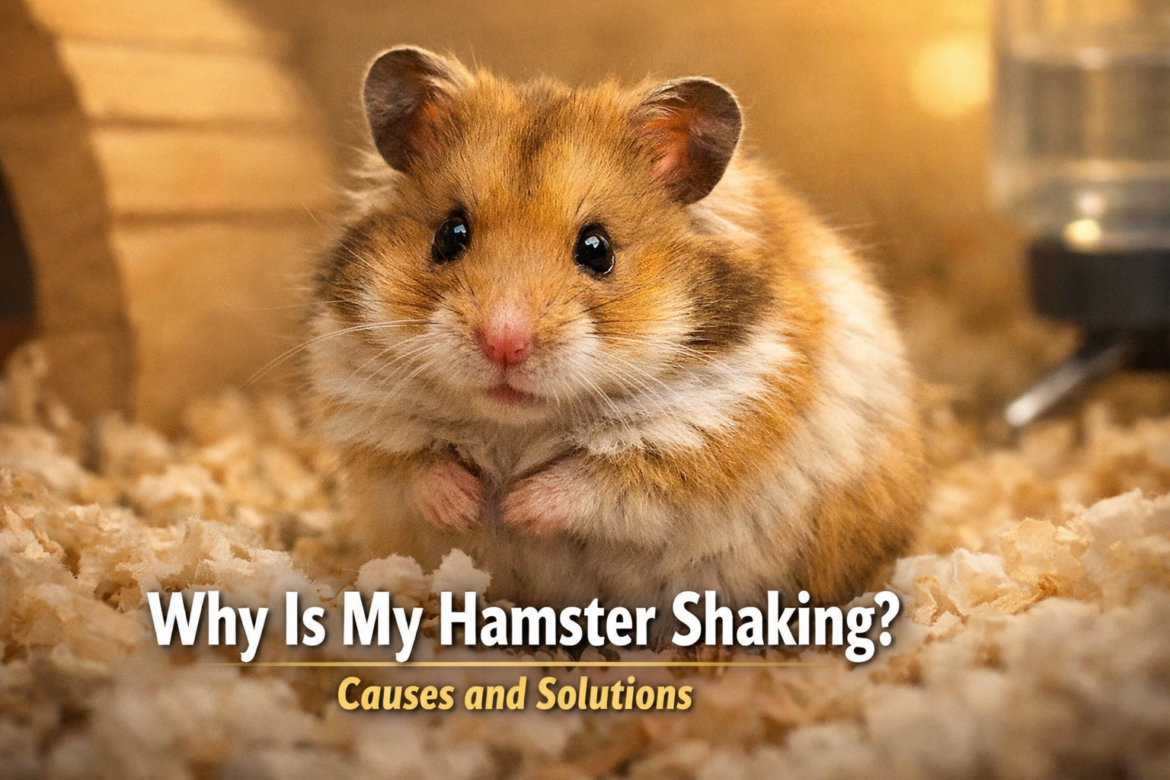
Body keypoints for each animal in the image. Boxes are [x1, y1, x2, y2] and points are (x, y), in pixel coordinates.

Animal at [307, 46, 926, 621]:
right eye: (449, 235)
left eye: (597, 248)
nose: (503, 343)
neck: (516, 427)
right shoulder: (364, 412)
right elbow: (415, 466)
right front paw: (471, 504)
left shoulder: (711, 432)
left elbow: (602, 479)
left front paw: (514, 508)